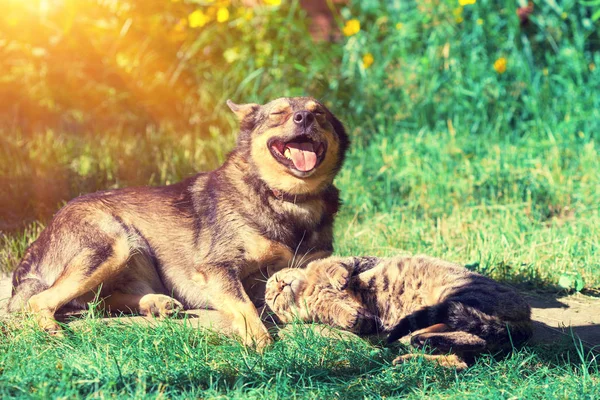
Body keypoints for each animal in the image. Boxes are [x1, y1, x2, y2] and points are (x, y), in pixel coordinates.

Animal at [7, 96, 350, 346]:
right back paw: (50, 329)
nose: (303, 118)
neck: (287, 198)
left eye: (318, 113)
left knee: (99, 301)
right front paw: (260, 338)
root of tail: (38, 241)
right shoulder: (217, 268)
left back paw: (156, 304)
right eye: (278, 113)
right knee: (41, 300)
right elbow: (244, 305)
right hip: (115, 243)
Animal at [264, 256, 532, 368]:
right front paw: (351, 317)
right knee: (462, 356)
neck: (308, 290)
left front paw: (339, 280)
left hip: (454, 296)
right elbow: (343, 315)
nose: (279, 285)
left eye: (276, 282)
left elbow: (335, 266)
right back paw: (414, 352)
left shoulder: (353, 260)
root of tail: (526, 320)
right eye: (274, 298)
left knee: (473, 341)